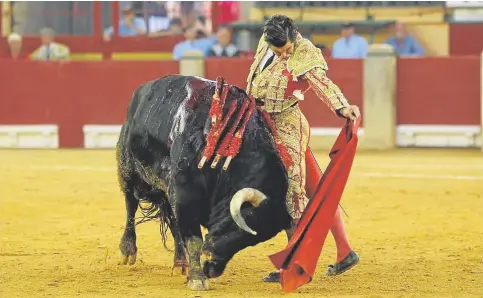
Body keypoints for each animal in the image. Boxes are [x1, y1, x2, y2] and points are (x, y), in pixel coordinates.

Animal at [116, 75, 294, 292]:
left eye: (252, 241)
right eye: (240, 225)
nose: (213, 269)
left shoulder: (180, 195)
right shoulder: (186, 193)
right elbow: (194, 240)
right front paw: (198, 279)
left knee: (173, 222)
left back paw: (180, 263)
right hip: (128, 169)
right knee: (130, 204)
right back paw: (128, 251)